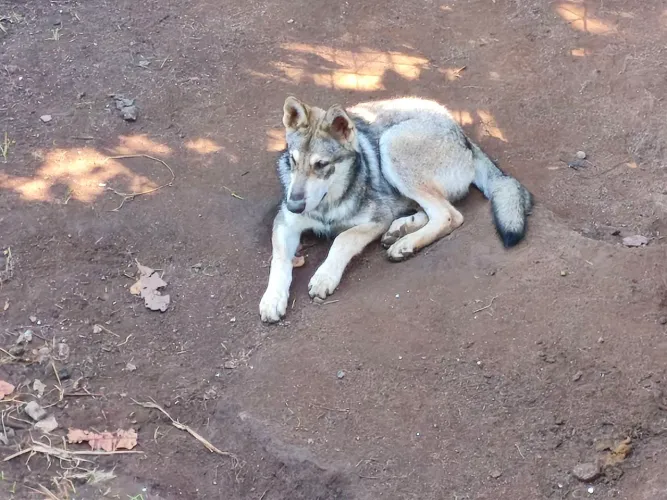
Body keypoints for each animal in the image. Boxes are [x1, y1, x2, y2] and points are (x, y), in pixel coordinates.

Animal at [259, 96, 532, 323]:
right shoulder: (285, 223)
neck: (327, 204)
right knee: (432, 210)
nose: (294, 205)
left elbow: (342, 239)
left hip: (391, 145)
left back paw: (405, 243)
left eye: (321, 165)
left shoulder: (377, 218)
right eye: (293, 161)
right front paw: (273, 299)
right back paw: (400, 230)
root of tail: (463, 135)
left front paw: (325, 276)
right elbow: (279, 261)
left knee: (449, 215)